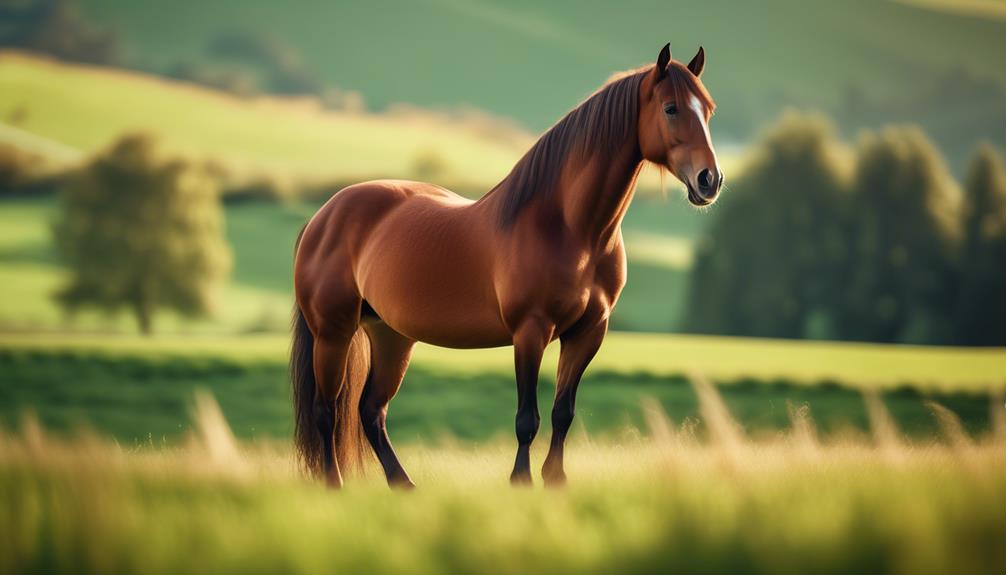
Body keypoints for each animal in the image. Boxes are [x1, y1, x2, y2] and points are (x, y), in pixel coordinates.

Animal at [291, 42, 724, 486]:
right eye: (671, 108)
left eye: (708, 109)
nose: (710, 180)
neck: (569, 227)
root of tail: (324, 214)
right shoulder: (530, 331)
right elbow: (527, 418)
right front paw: (521, 482)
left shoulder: (588, 333)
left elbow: (562, 412)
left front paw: (555, 481)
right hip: (333, 332)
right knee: (327, 412)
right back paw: (335, 486)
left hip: (391, 336)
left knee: (371, 411)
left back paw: (405, 486)